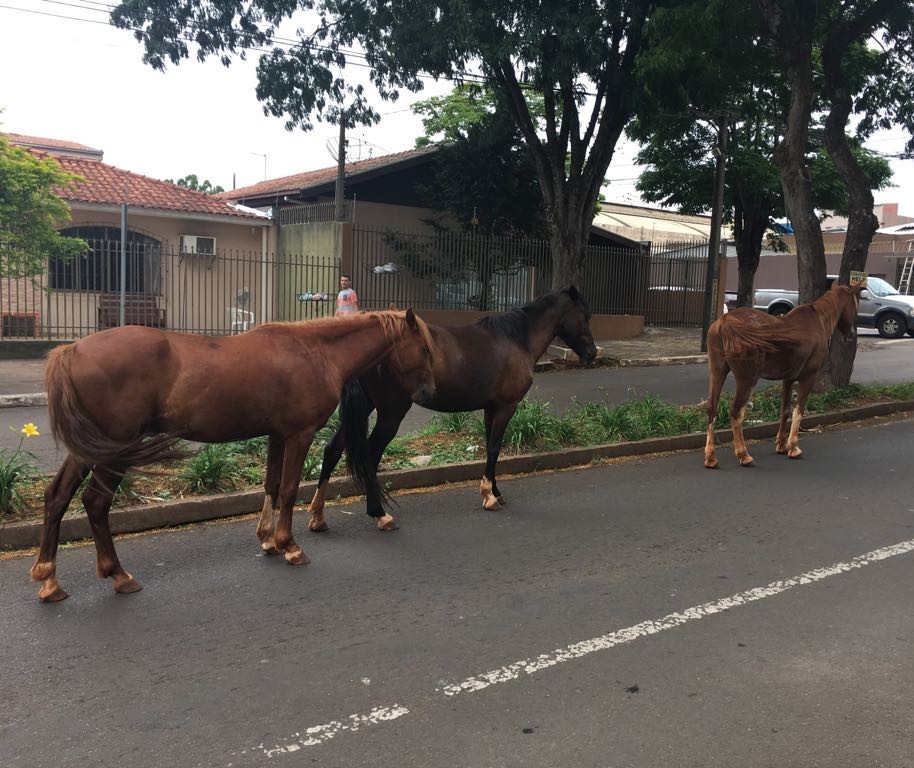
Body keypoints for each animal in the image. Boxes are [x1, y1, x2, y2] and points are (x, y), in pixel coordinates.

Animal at [30, 308, 436, 604]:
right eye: (425, 349)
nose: (428, 391)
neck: (314, 352)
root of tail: (73, 350)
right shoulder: (299, 435)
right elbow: (289, 488)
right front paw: (290, 546)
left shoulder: (277, 435)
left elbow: (271, 484)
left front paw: (268, 539)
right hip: (114, 449)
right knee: (95, 502)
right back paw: (118, 573)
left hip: (90, 449)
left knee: (58, 497)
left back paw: (49, 579)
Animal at [302, 284, 596, 532]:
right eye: (585, 315)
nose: (592, 353)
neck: (515, 339)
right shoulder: (506, 407)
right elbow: (494, 447)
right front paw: (489, 496)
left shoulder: (491, 409)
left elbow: (491, 447)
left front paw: (495, 491)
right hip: (390, 413)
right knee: (370, 456)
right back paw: (379, 514)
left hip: (364, 409)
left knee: (332, 450)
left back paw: (318, 516)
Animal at [700, 282, 860, 468]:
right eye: (854, 305)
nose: (852, 334)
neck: (818, 321)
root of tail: (725, 322)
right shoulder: (809, 377)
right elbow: (799, 410)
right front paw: (793, 447)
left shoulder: (788, 379)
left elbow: (785, 410)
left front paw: (782, 445)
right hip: (746, 380)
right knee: (736, 412)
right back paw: (743, 454)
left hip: (717, 372)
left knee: (712, 409)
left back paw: (710, 457)